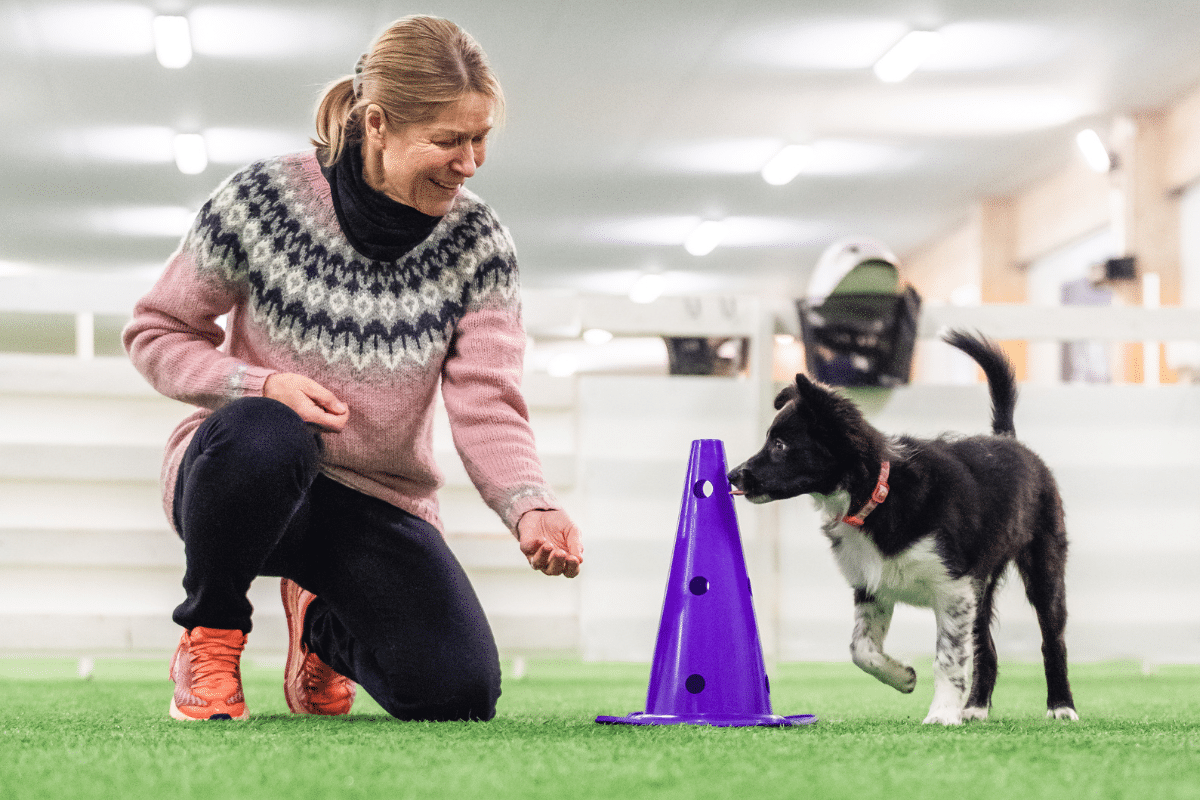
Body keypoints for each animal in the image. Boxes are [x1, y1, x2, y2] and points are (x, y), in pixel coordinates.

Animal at [724, 331, 1084, 724]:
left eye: (780, 444)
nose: (732, 475)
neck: (877, 493)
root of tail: (1008, 439)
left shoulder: (954, 589)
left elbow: (948, 658)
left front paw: (941, 713)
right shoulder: (873, 585)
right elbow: (860, 649)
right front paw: (904, 677)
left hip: (1043, 567)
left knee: (1052, 641)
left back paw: (1061, 706)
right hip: (981, 586)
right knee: (985, 646)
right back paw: (975, 707)